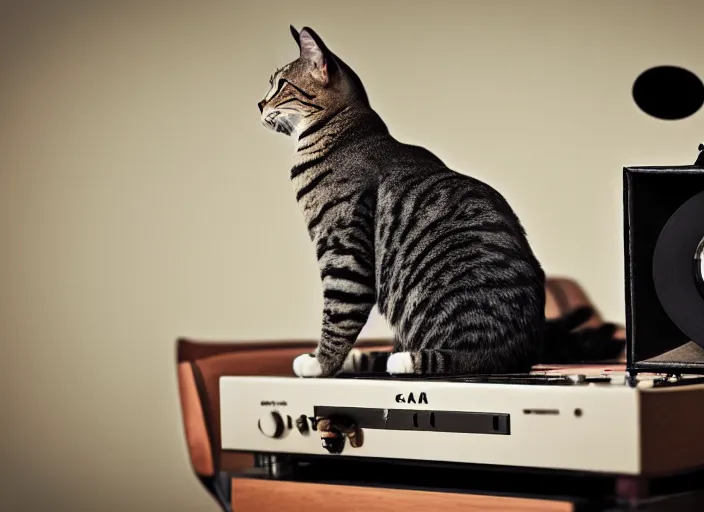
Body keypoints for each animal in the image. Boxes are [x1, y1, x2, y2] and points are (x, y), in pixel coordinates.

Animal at [258, 26, 620, 378]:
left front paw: (320, 364)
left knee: (467, 358)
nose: (260, 103)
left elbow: (338, 316)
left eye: (280, 84)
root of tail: (525, 353)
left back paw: (404, 361)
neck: (343, 132)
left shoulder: (343, 250)